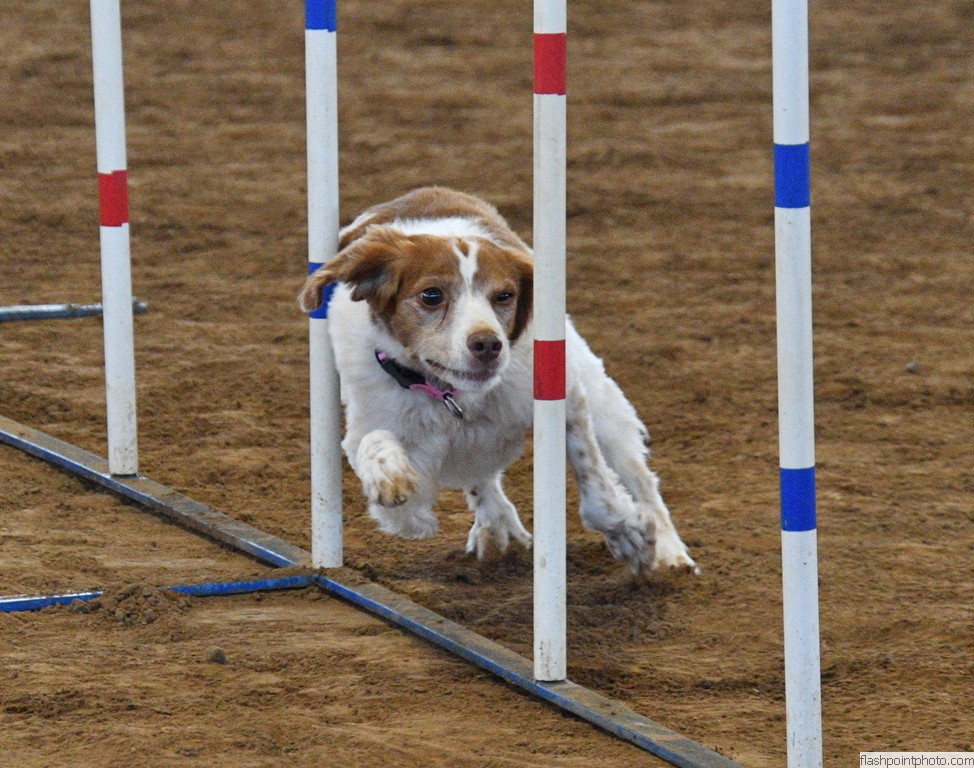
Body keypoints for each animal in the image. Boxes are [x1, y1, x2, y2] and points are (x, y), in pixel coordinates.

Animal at [298, 187, 696, 575]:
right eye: (431, 295)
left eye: (504, 295)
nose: (488, 344)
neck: (454, 396)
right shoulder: (377, 424)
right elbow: (380, 457)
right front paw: (391, 477)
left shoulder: (565, 399)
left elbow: (598, 488)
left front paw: (630, 534)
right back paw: (493, 523)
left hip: (602, 402)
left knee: (640, 478)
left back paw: (670, 552)